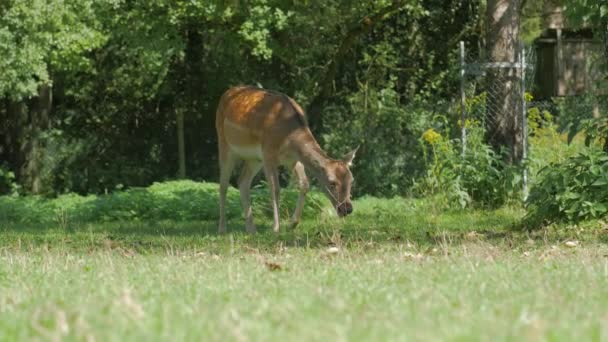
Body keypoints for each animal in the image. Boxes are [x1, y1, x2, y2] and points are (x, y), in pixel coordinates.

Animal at [216, 86, 356, 235]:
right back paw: (222, 228)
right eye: (332, 183)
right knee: (223, 185)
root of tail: (227, 92)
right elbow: (275, 189)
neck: (288, 137)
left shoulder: (294, 159)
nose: (347, 209)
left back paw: (251, 229)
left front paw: (292, 224)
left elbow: (305, 184)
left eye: (351, 180)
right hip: (224, 142)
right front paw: (276, 228)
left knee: (242, 181)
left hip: (255, 159)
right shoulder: (268, 153)